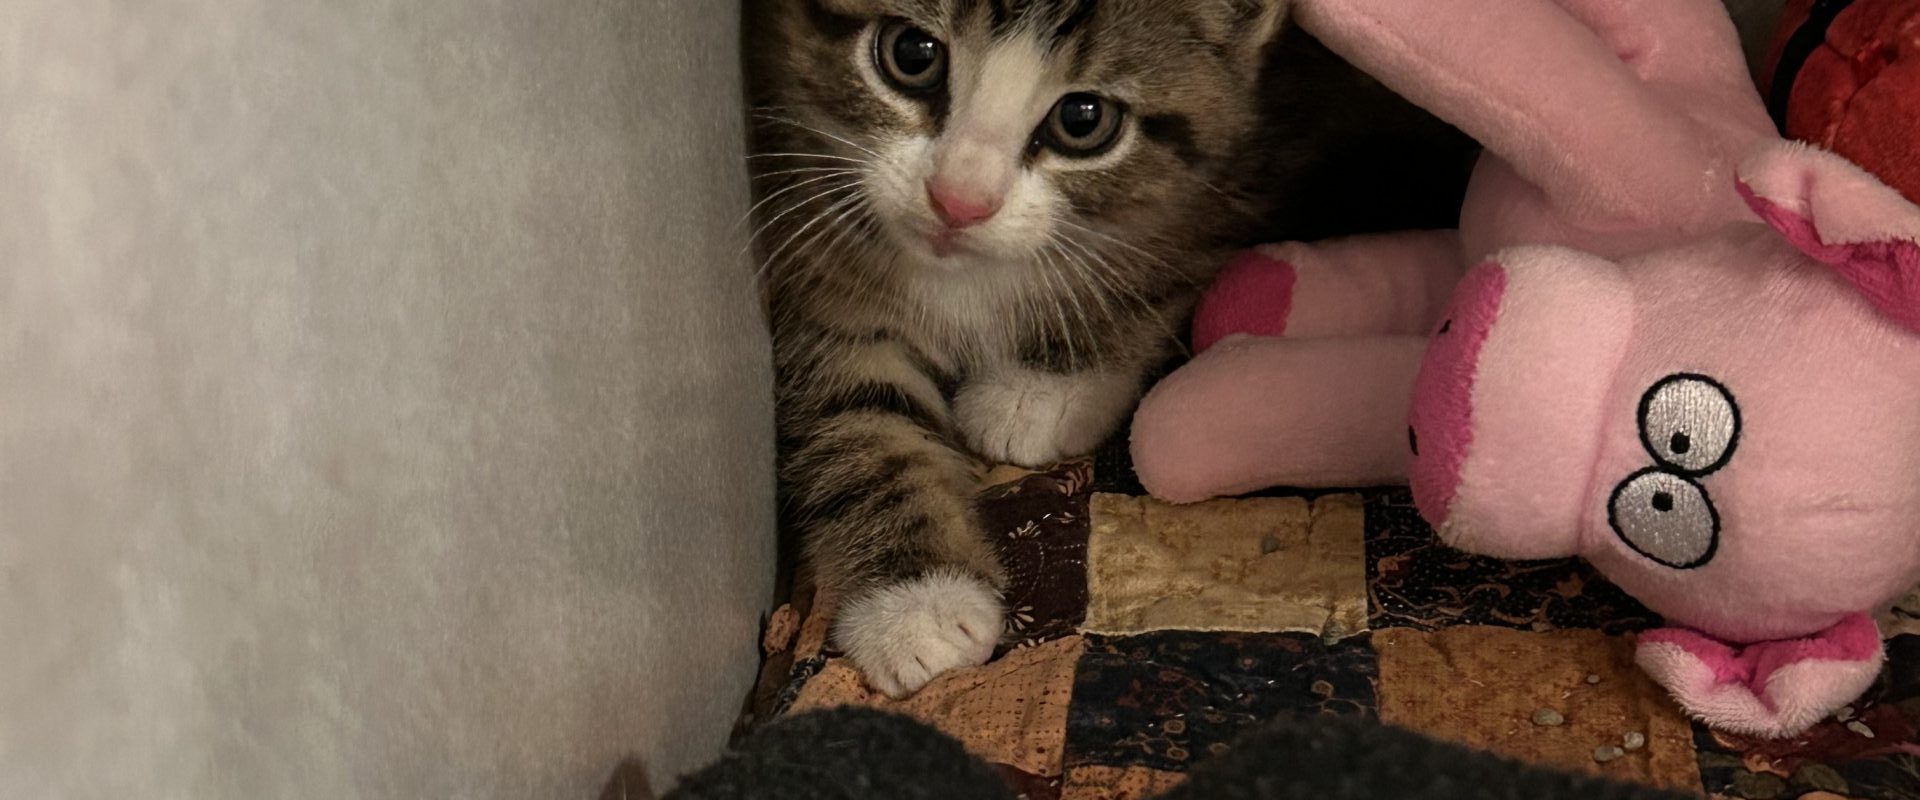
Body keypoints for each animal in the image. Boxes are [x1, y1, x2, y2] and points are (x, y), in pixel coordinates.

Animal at [743, 0, 1475, 697]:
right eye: (911, 54)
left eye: (1083, 119)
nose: (958, 201)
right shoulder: (813, 254)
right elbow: (856, 421)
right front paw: (917, 604)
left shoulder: (1253, 162)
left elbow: (1165, 254)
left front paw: (1044, 387)